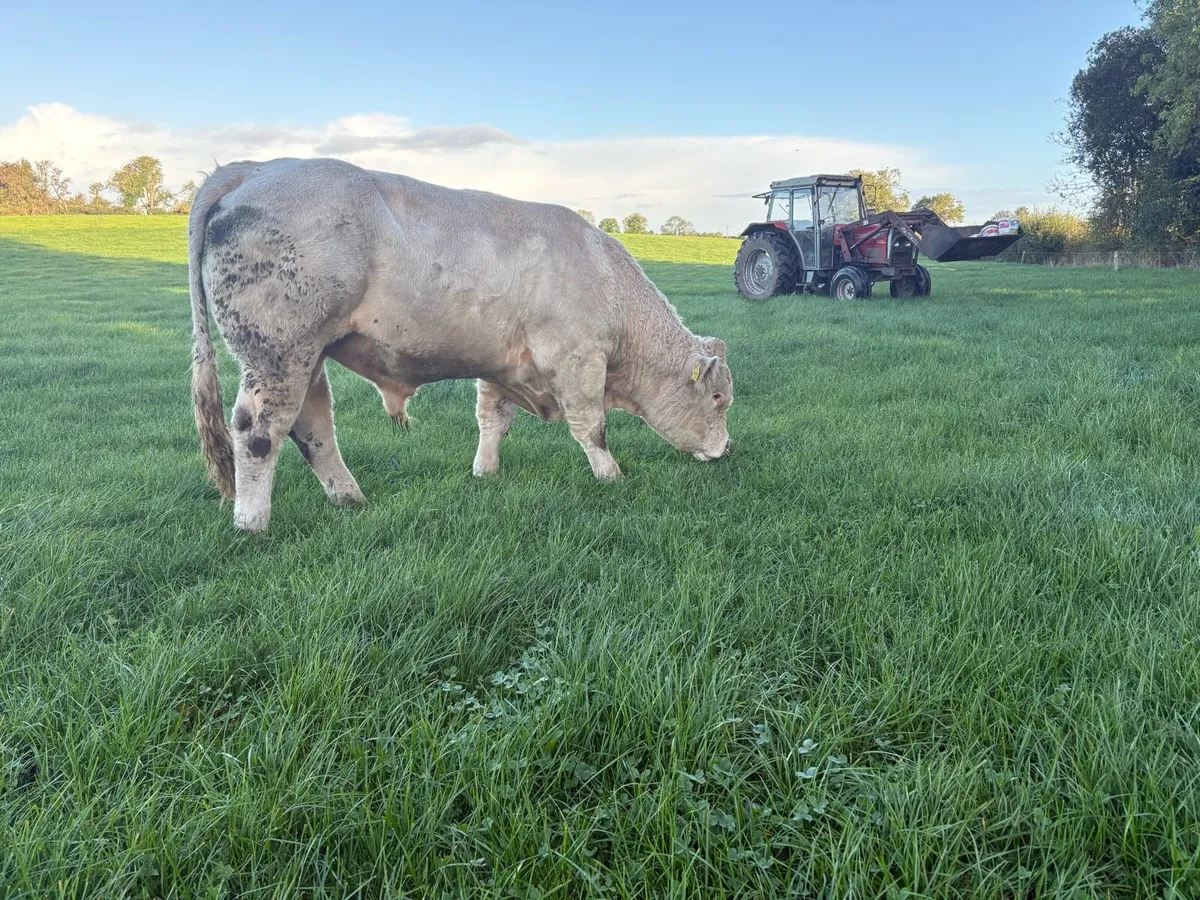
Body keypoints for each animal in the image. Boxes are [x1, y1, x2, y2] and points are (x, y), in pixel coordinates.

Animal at [189, 158, 734, 533]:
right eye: (718, 398)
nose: (727, 450)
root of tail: (256, 168)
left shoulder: (502, 366)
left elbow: (492, 419)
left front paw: (485, 471)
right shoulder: (578, 360)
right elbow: (591, 426)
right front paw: (611, 475)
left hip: (308, 358)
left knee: (313, 427)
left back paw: (350, 499)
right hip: (277, 353)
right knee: (258, 432)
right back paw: (252, 523)